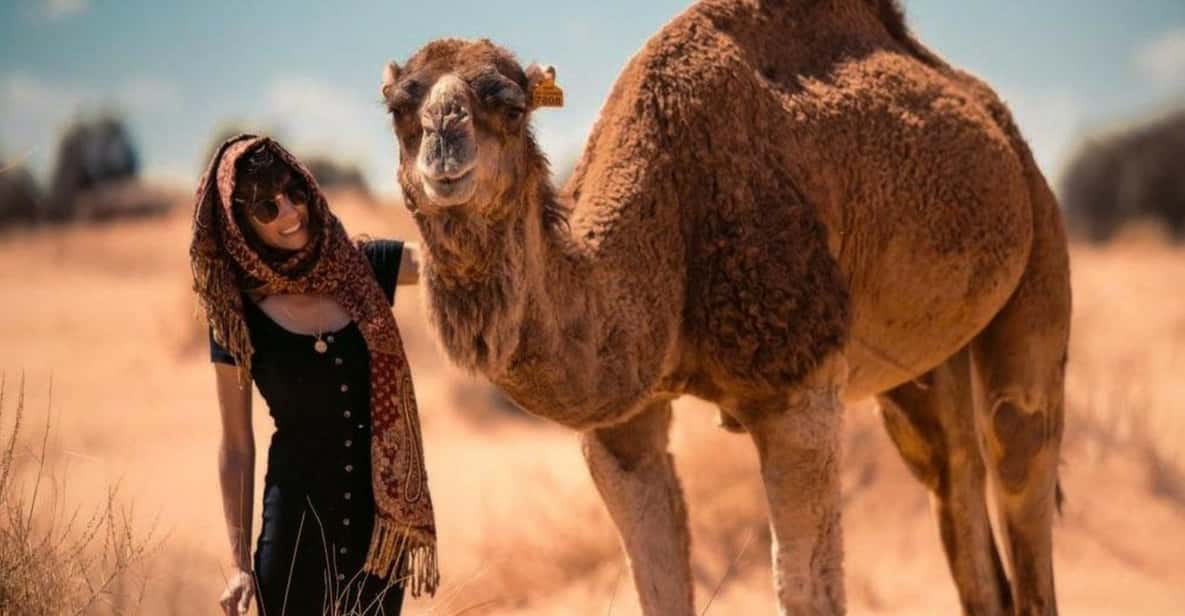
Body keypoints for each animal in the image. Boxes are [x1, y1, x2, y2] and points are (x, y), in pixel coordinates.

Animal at [379, 1, 1070, 614]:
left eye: (511, 105)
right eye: (398, 106)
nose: (444, 145)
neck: (665, 223)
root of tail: (996, 121)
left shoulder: (799, 387)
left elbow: (808, 593)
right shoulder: (622, 423)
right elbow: (658, 589)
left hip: (1040, 244)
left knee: (1017, 452)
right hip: (920, 370)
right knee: (953, 477)